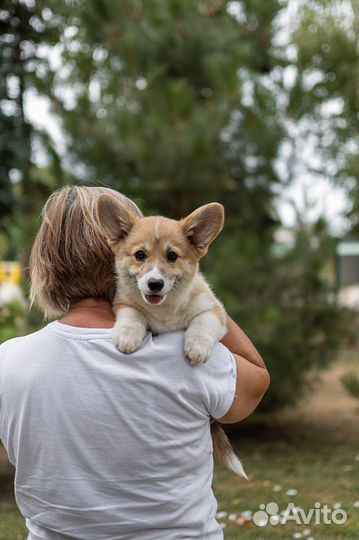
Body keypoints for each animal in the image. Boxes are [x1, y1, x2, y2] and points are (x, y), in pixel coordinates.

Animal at [95, 193, 248, 476]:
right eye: (140, 255)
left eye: (172, 256)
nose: (155, 284)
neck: (164, 311)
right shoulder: (123, 303)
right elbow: (133, 314)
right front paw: (127, 335)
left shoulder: (215, 311)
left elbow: (201, 324)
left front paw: (196, 348)